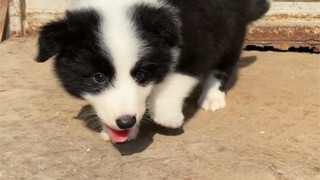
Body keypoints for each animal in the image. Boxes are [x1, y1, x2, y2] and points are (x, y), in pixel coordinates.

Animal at [36, 0, 272, 143]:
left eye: (141, 75)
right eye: (98, 78)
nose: (125, 122)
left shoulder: (197, 45)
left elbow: (173, 82)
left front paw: (169, 117)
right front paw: (122, 130)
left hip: (230, 33)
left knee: (223, 66)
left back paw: (212, 97)